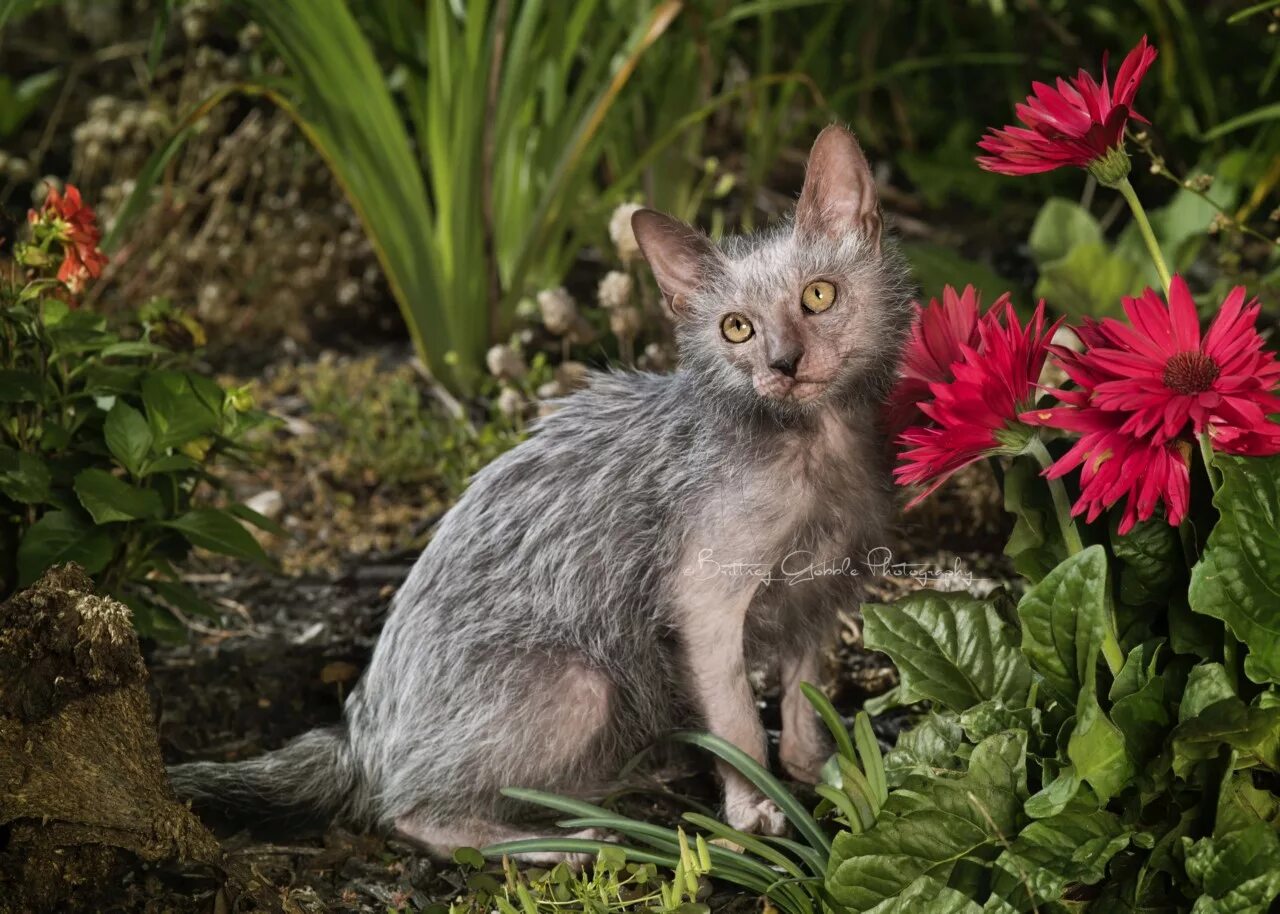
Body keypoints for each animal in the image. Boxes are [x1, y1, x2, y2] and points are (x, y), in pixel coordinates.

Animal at [170, 124, 916, 860]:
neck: (815, 445)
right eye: (737, 328)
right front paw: (756, 810)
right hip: (579, 684)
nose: (783, 364)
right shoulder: (704, 604)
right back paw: (567, 841)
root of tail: (357, 734)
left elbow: (804, 696)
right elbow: (737, 725)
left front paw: (825, 772)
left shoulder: (820, 593)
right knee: (411, 811)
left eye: (819, 295)